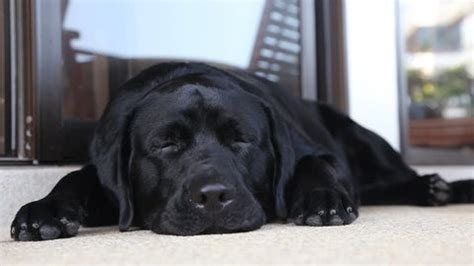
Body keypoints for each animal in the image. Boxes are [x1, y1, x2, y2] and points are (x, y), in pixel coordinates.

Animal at [9, 62, 472, 241]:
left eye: (242, 139)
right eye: (166, 143)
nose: (213, 196)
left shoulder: (315, 152)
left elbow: (315, 167)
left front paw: (322, 201)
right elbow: (75, 175)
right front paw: (43, 212)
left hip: (362, 137)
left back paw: (435, 188)